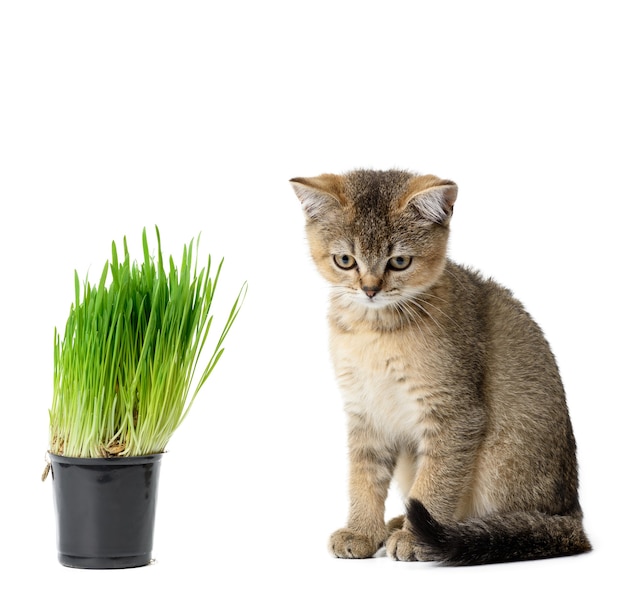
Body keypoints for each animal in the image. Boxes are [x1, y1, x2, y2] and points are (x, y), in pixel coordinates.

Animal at [290, 170, 588, 564]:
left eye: (400, 261)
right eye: (345, 260)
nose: (370, 289)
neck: (376, 331)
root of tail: (573, 514)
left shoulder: (455, 414)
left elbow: (436, 480)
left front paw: (414, 538)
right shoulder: (366, 413)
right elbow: (363, 477)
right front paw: (362, 531)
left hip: (501, 463)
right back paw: (393, 524)